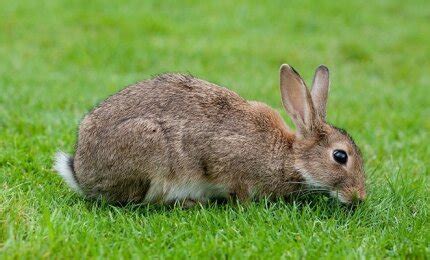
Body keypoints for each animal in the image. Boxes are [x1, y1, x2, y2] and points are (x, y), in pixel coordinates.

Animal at [53, 64, 366, 205]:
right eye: (340, 156)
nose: (359, 197)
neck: (290, 156)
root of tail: (81, 173)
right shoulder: (229, 162)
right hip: (149, 149)